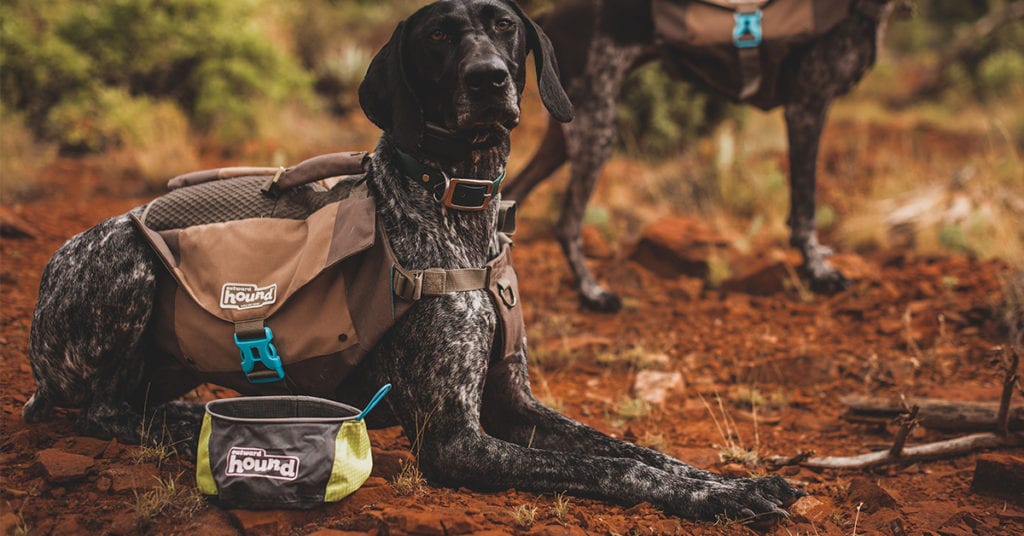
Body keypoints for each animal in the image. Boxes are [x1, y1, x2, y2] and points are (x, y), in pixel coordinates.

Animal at [503, 0, 897, 311]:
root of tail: (547, 17)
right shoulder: (807, 107)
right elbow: (806, 209)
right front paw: (818, 273)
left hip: (565, 134)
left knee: (513, 195)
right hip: (595, 131)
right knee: (567, 223)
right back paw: (593, 293)